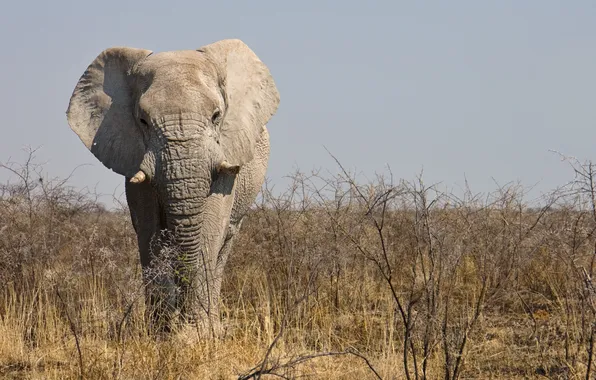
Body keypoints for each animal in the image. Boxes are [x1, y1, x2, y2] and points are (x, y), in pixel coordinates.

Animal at [66, 38, 280, 336]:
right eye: (143, 120)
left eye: (216, 116)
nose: (184, 319)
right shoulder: (134, 156)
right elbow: (149, 229)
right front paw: (163, 334)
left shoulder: (226, 154)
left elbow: (210, 227)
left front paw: (198, 334)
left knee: (224, 243)